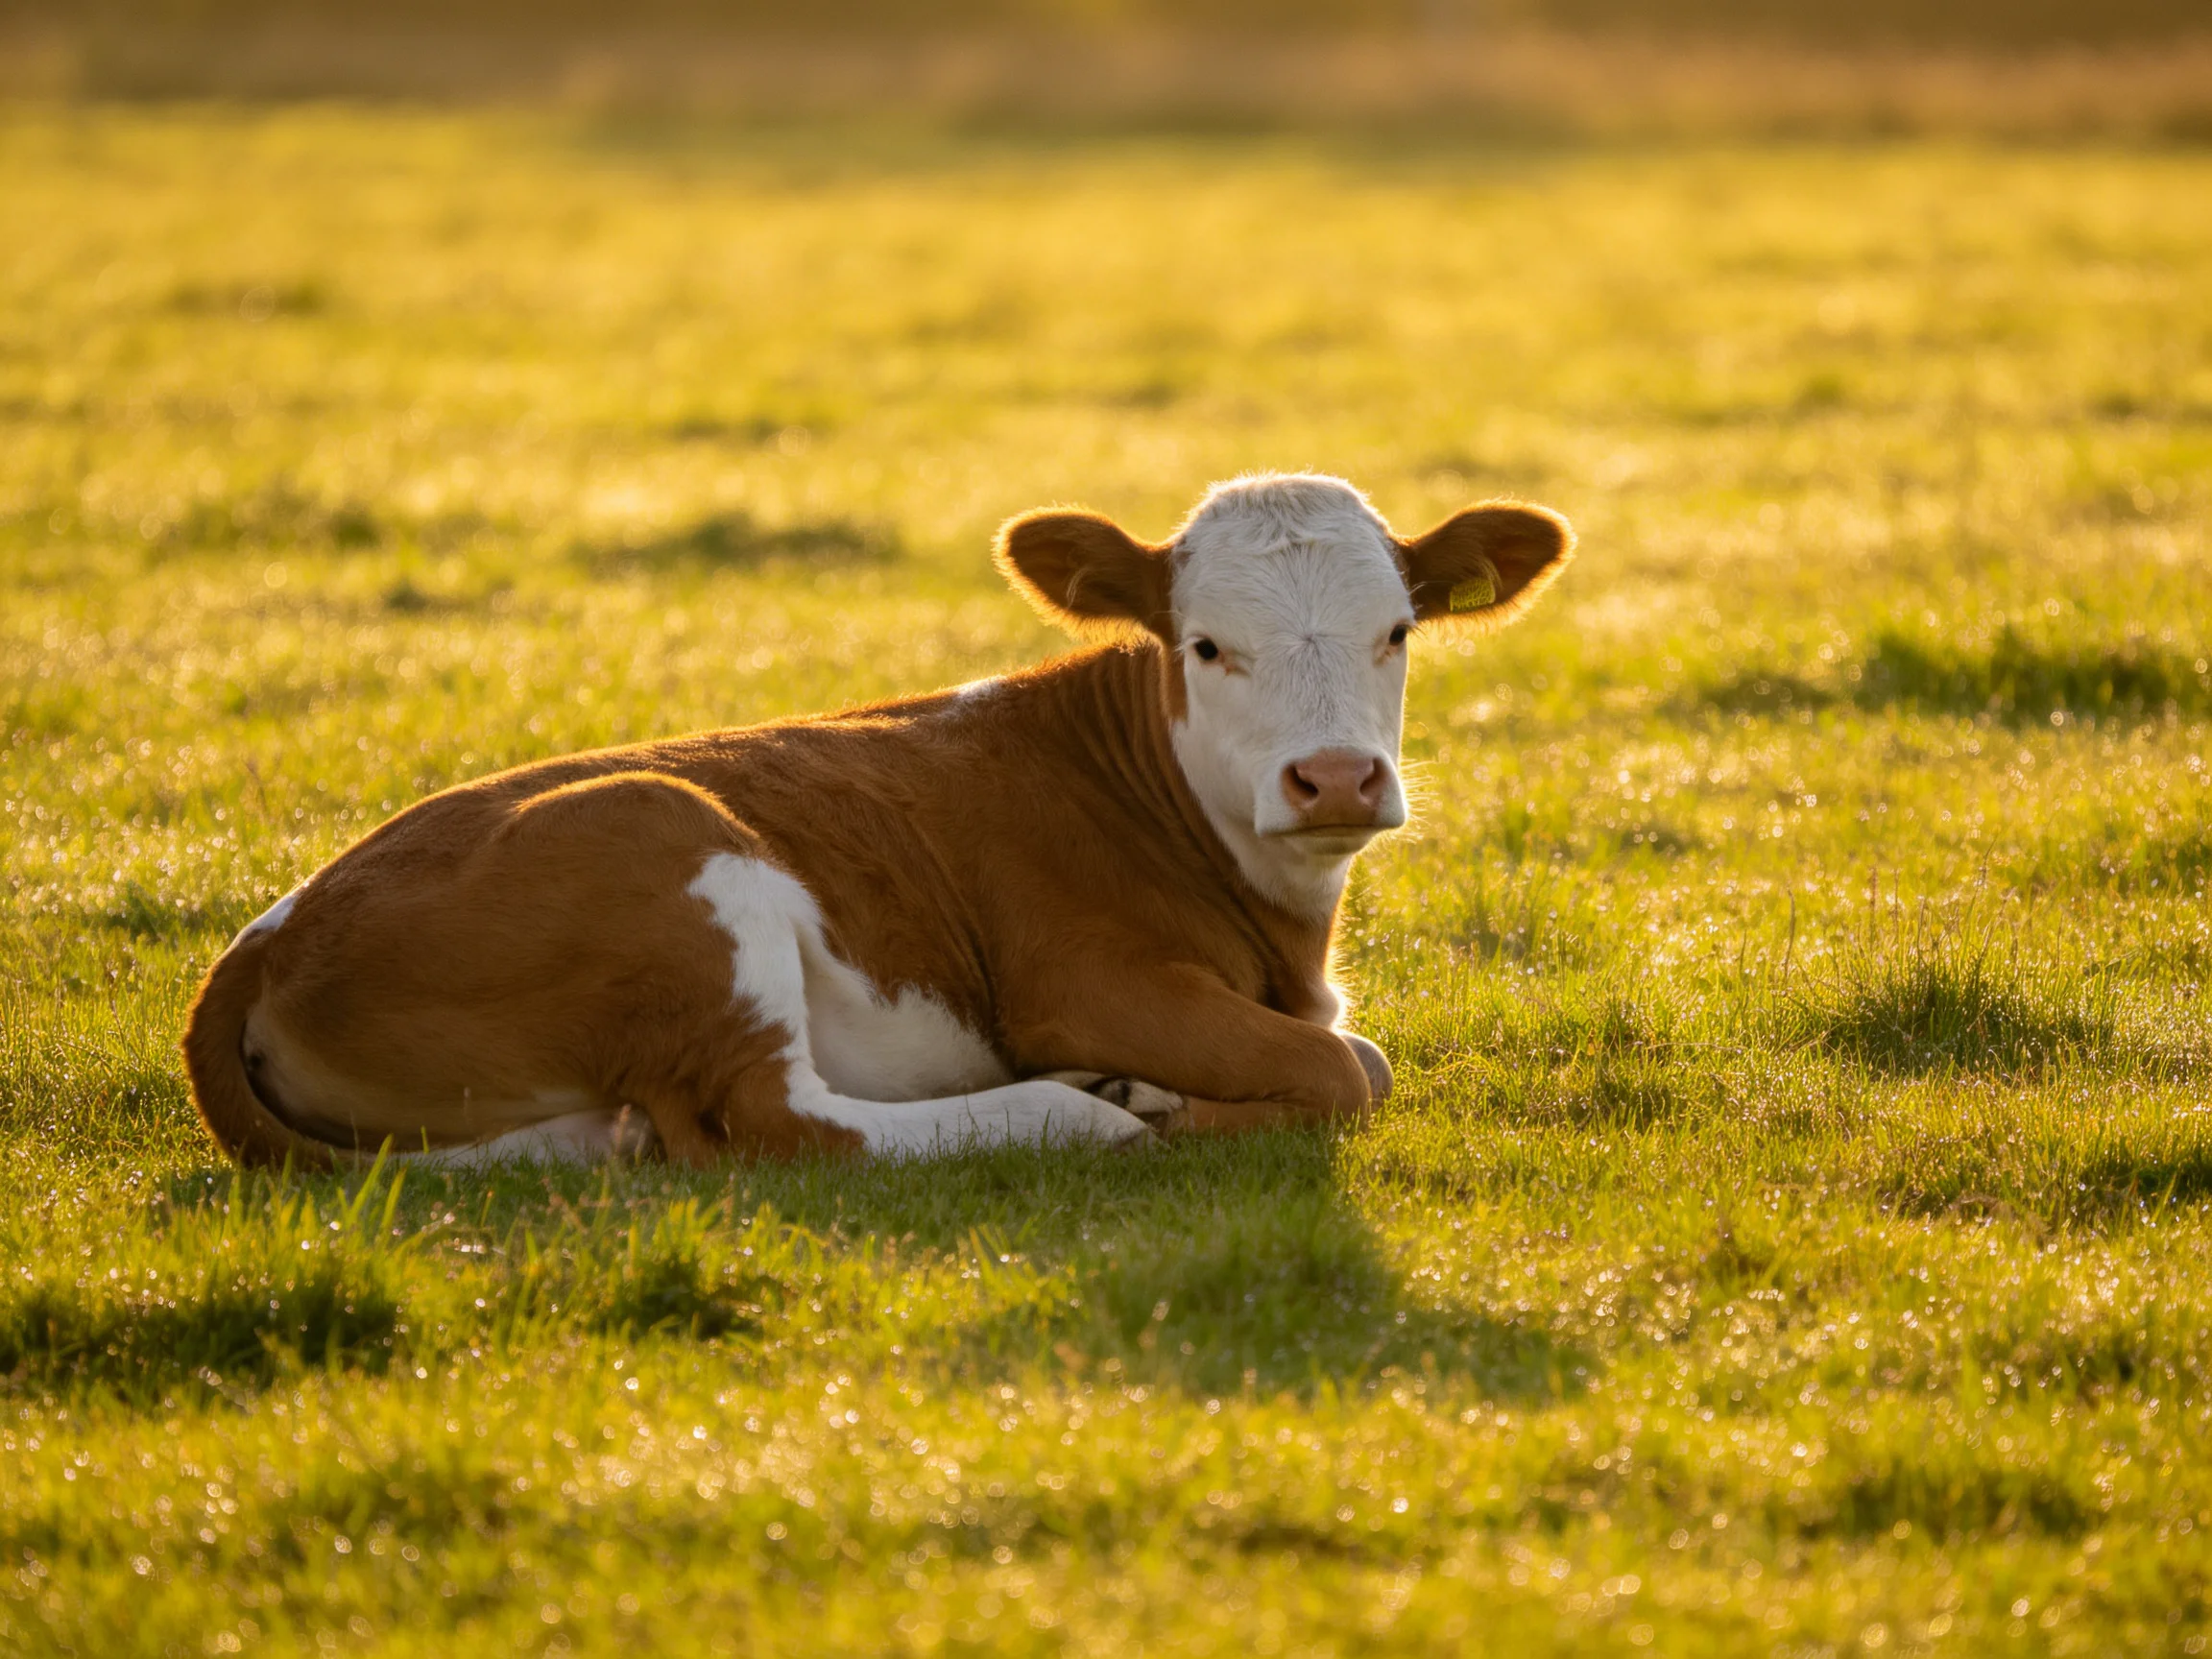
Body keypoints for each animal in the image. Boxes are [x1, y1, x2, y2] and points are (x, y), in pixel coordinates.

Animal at [182, 472, 1572, 1167]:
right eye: (1206, 645)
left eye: (1397, 632)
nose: (1335, 779)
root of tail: (276, 927)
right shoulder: (1085, 976)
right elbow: (1350, 1069)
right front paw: (1157, 1099)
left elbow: (1357, 1053)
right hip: (679, 862)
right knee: (774, 1120)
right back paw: (1086, 1112)